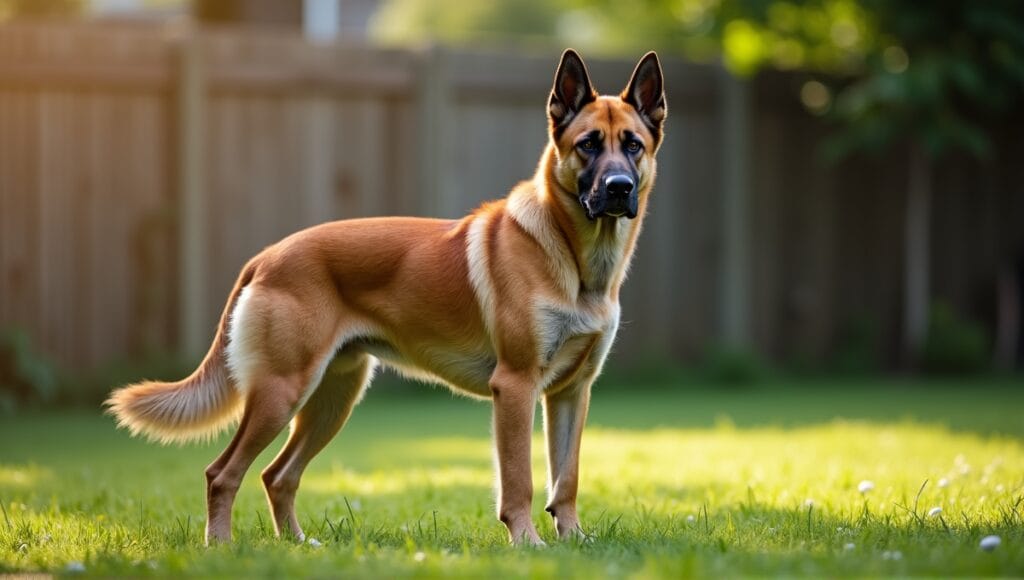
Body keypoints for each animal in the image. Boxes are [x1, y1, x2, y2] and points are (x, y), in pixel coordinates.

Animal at [108, 48, 667, 545]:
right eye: (588, 144)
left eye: (633, 145)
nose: (619, 188)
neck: (576, 262)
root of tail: (267, 256)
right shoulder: (516, 387)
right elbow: (520, 482)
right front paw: (528, 543)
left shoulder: (572, 392)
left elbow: (566, 479)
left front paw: (573, 540)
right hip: (280, 393)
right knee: (222, 472)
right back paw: (221, 546)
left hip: (332, 400)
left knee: (277, 475)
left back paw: (298, 544)